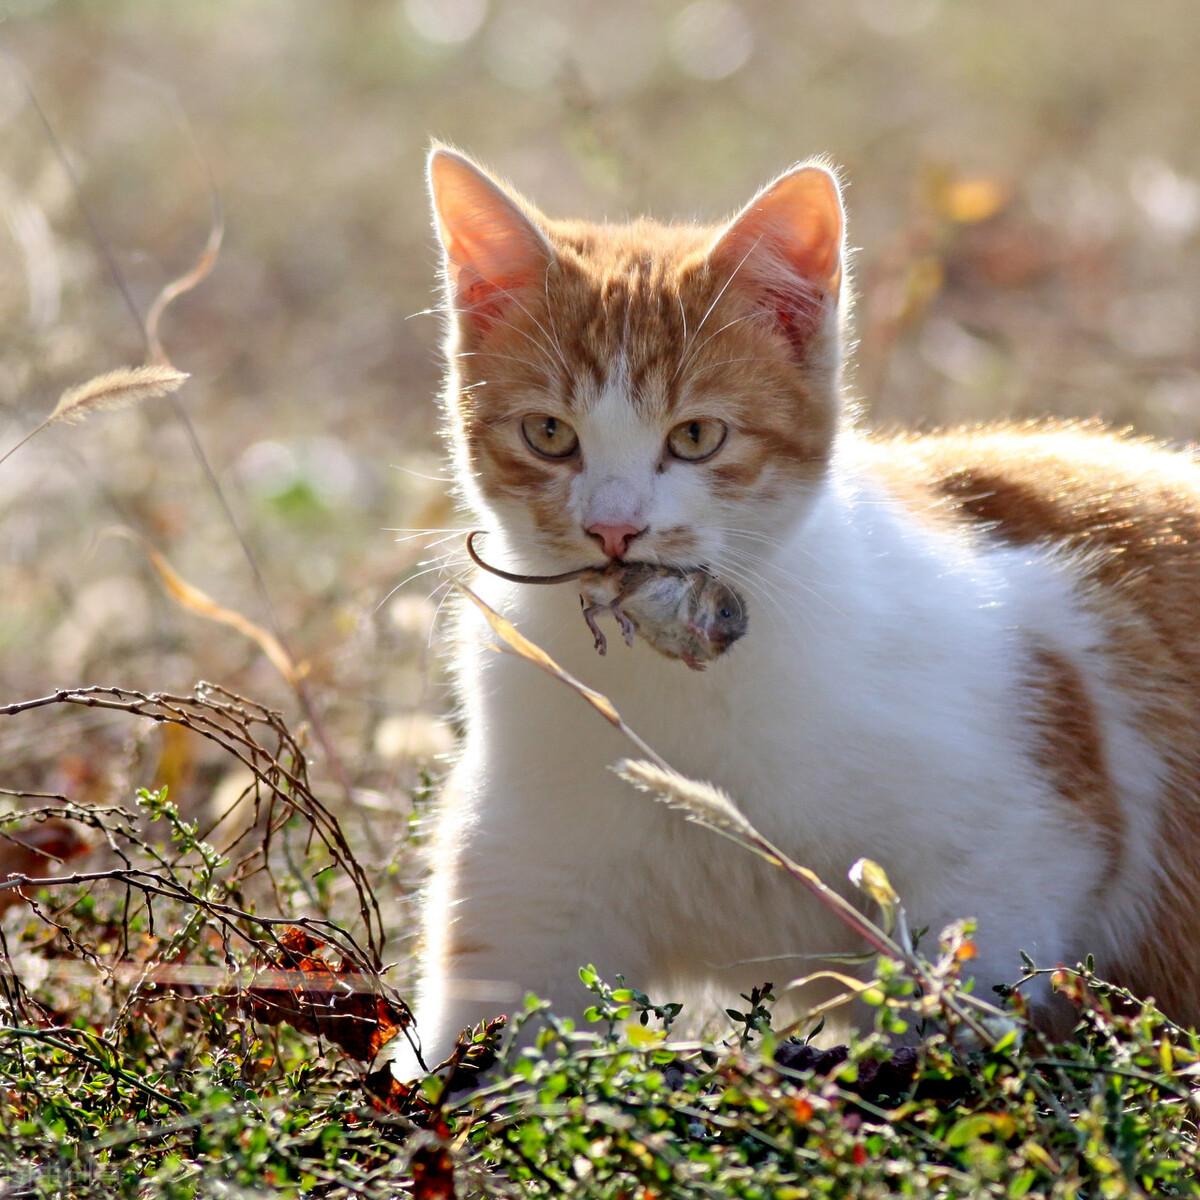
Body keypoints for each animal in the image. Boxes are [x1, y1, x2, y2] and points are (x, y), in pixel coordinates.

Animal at [393, 145, 1200, 1075]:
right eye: (549, 434)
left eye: (697, 436)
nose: (613, 528)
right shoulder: (528, 885)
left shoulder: (1023, 843)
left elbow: (960, 1006)